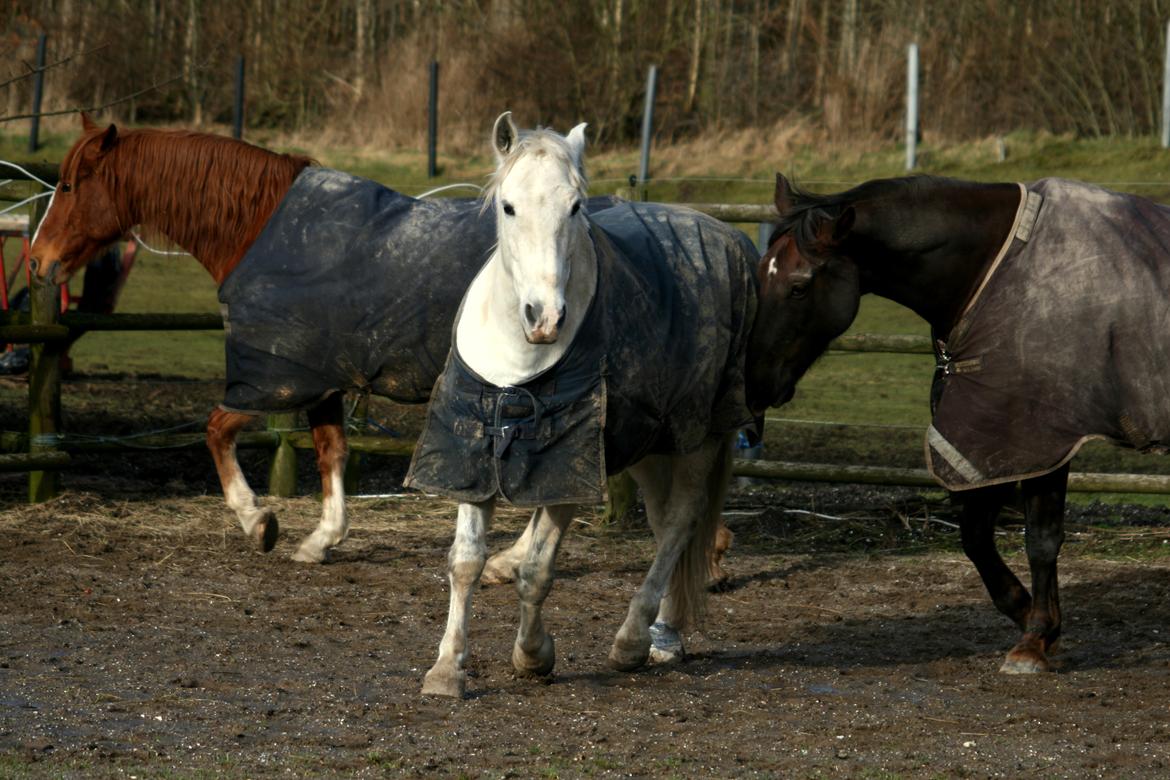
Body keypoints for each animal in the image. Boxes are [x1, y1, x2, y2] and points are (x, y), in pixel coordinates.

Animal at [409, 111, 758, 701]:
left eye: (575, 207)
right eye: (508, 206)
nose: (545, 317)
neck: (519, 365)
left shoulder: (568, 465)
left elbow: (538, 572)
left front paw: (533, 656)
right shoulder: (474, 451)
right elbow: (465, 562)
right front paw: (447, 668)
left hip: (698, 436)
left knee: (681, 523)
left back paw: (634, 641)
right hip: (649, 446)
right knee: (666, 523)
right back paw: (665, 637)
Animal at [744, 174, 1170, 673]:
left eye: (798, 286)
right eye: (759, 275)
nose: (754, 387)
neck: (991, 267)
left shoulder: (1036, 434)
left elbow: (1041, 539)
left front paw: (1034, 639)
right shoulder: (1000, 441)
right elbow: (976, 536)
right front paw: (1032, 618)